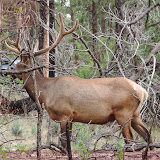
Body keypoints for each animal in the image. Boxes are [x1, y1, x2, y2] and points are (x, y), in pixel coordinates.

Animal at [4, 13, 152, 151]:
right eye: (16, 63)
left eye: (22, 65)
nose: (7, 71)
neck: (46, 94)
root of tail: (142, 91)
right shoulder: (71, 118)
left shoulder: (64, 114)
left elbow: (64, 143)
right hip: (136, 114)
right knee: (147, 135)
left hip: (123, 113)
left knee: (130, 139)